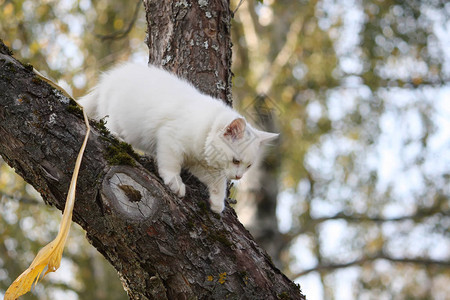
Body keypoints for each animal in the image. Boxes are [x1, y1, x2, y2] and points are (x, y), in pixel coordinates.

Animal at [79, 63, 280, 213]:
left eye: (249, 166)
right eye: (236, 161)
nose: (238, 176)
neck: (205, 129)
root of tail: (108, 78)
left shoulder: (200, 164)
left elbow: (218, 183)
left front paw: (217, 203)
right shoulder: (170, 139)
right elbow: (171, 165)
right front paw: (175, 183)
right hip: (116, 113)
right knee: (108, 124)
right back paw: (117, 137)